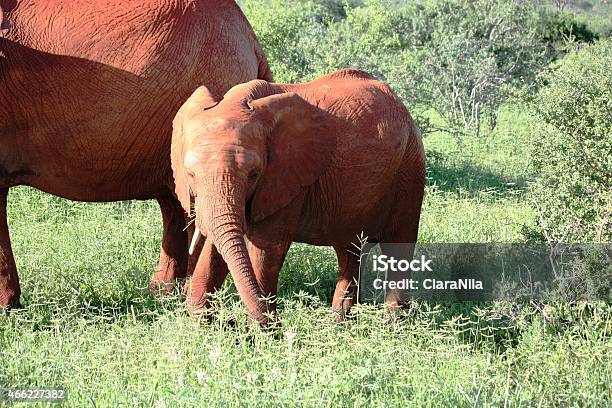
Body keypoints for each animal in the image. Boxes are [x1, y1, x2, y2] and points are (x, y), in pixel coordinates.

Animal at [172, 67, 426, 326]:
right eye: (190, 174)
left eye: (254, 174)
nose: (230, 322)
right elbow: (218, 244)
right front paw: (205, 322)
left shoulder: (286, 176)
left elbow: (266, 250)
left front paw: (260, 331)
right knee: (350, 251)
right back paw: (338, 325)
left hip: (410, 170)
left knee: (399, 245)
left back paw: (392, 327)